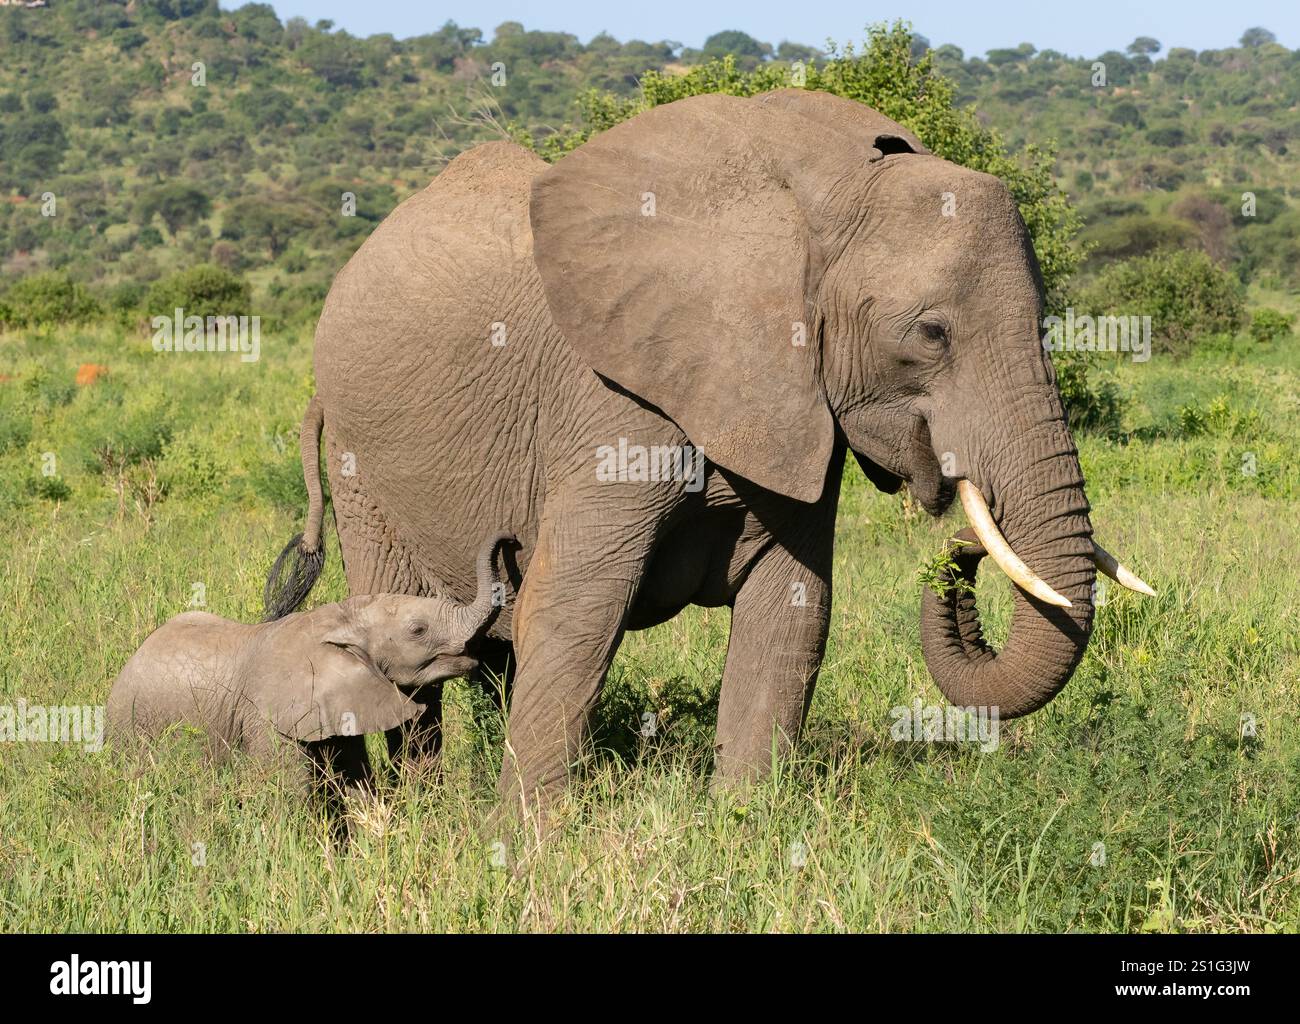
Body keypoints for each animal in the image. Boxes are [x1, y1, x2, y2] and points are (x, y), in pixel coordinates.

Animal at [110, 531, 514, 795]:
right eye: (417, 630)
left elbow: (354, 778)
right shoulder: (267, 716)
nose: (508, 539)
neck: (339, 618)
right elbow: (287, 792)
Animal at [264, 88, 1153, 813]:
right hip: (362, 461)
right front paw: (529, 844)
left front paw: (744, 824)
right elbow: (576, 605)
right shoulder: (610, 399)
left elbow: (794, 606)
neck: (810, 201)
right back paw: (418, 806)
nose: (964, 544)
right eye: (931, 334)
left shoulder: (793, 403)